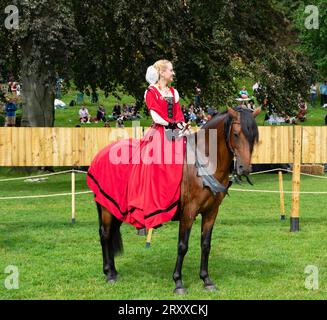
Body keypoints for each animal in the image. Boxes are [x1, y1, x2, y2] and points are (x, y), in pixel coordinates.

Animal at [95, 106, 262, 294]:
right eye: (235, 134)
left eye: (253, 137)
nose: (244, 168)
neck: (202, 165)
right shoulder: (188, 212)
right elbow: (182, 246)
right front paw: (178, 282)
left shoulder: (211, 212)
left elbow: (206, 245)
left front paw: (206, 280)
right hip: (107, 209)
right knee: (105, 235)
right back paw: (109, 274)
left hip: (116, 208)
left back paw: (113, 272)